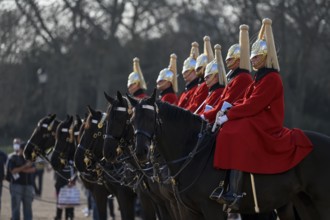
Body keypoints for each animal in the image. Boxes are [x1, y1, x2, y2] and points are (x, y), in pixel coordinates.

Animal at [127, 90, 330, 220]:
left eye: (151, 118)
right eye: (132, 120)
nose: (140, 152)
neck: (193, 152)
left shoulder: (211, 209)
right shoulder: (188, 210)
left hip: (320, 203)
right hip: (304, 203)